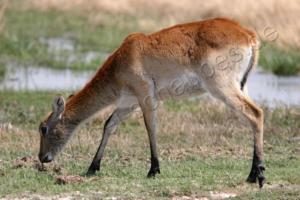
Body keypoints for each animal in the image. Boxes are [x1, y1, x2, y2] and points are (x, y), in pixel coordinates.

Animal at [38, 17, 264, 188]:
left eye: (43, 128)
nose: (42, 158)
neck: (121, 61)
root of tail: (248, 35)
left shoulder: (146, 97)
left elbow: (150, 128)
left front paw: (153, 170)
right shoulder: (128, 102)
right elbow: (109, 124)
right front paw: (92, 167)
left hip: (222, 87)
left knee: (255, 114)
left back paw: (257, 175)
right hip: (240, 86)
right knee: (256, 114)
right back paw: (253, 175)